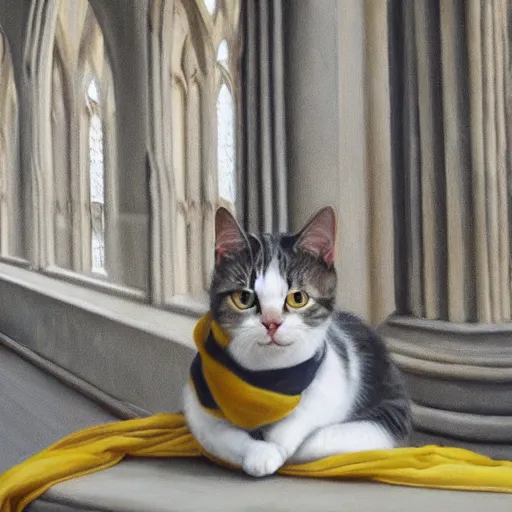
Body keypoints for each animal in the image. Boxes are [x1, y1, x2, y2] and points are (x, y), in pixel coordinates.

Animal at [184, 206, 412, 478]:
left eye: (298, 298)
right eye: (244, 298)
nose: (271, 322)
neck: (269, 378)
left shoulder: (338, 384)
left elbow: (306, 427)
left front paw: (277, 446)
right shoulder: (196, 405)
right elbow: (219, 435)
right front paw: (260, 453)